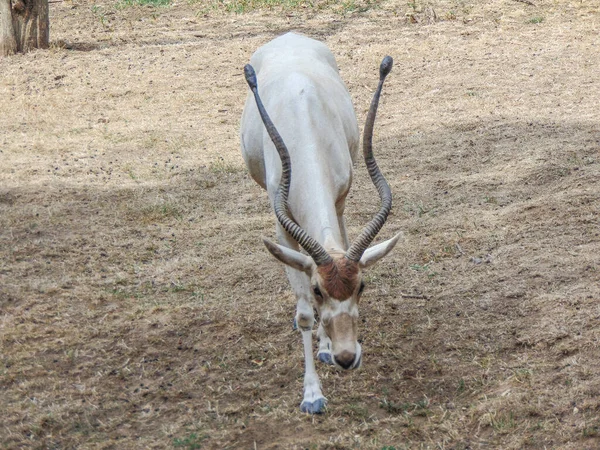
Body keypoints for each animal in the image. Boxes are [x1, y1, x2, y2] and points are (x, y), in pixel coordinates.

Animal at [239, 32, 398, 414]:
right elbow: (305, 315)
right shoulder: (282, 226)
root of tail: (288, 36)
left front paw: (333, 346)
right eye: (317, 289)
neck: (304, 125)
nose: (346, 357)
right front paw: (312, 394)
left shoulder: (340, 200)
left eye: (362, 286)